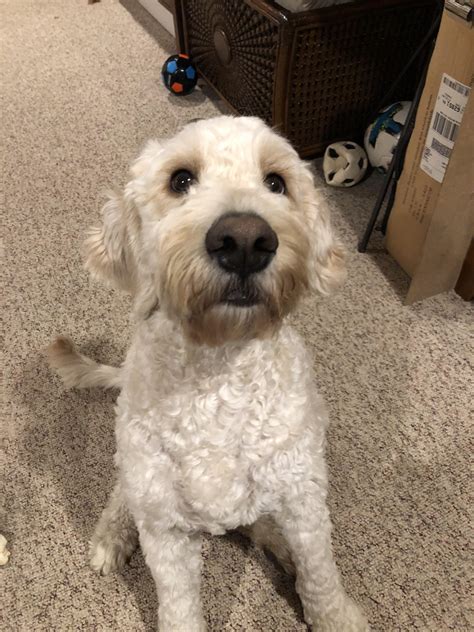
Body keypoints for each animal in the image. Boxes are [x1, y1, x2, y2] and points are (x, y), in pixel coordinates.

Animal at [48, 116, 366, 628]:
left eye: (276, 182)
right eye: (180, 180)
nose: (245, 241)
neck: (220, 375)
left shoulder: (304, 500)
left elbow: (320, 576)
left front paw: (333, 615)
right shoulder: (166, 531)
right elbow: (178, 606)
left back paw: (279, 547)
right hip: (137, 466)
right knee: (123, 492)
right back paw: (113, 534)